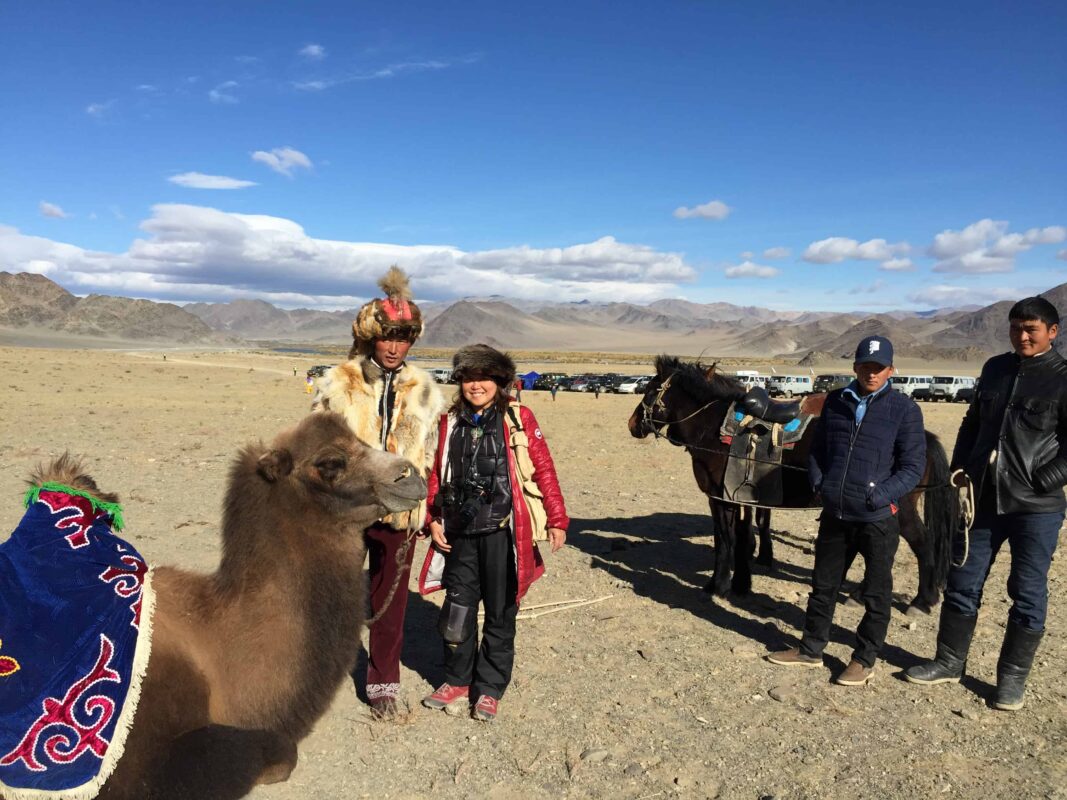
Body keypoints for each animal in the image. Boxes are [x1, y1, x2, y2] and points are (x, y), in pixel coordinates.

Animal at [623, 356, 956, 614]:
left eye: (650, 390)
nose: (632, 423)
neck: (712, 428)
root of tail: (923, 438)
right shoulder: (738, 498)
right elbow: (740, 536)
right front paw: (741, 581)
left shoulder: (720, 498)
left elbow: (725, 540)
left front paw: (718, 586)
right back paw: (859, 595)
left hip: (899, 507)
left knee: (921, 543)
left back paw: (922, 601)